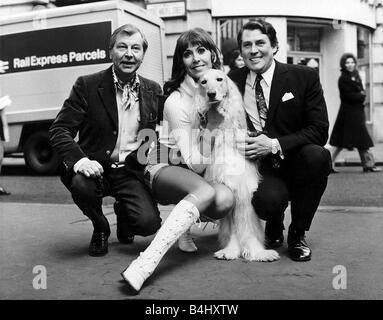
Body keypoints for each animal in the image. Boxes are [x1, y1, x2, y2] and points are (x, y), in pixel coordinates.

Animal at [191, 69, 280, 262]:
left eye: (219, 79)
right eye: (203, 82)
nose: (211, 94)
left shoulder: (245, 191)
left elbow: (247, 225)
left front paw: (257, 251)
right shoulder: (229, 188)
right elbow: (231, 227)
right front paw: (231, 250)